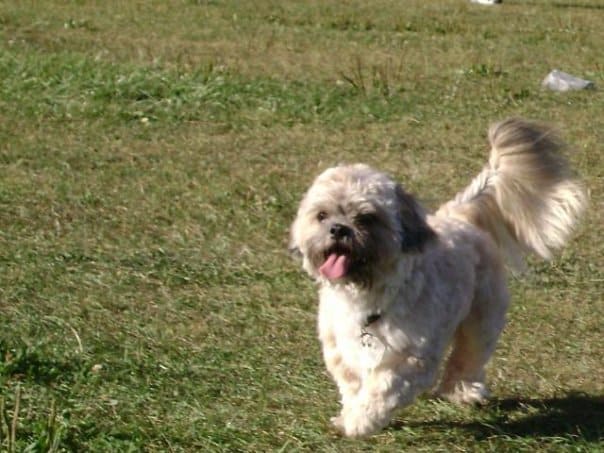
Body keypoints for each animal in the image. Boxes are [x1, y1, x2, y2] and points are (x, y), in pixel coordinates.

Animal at [290, 118, 588, 436]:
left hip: (482, 318)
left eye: (366, 218)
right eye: (322, 215)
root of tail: (459, 216)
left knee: (469, 355)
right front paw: (349, 414)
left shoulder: (411, 357)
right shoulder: (339, 350)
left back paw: (463, 390)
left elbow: (381, 389)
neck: (367, 296)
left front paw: (359, 422)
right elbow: (352, 385)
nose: (338, 229)